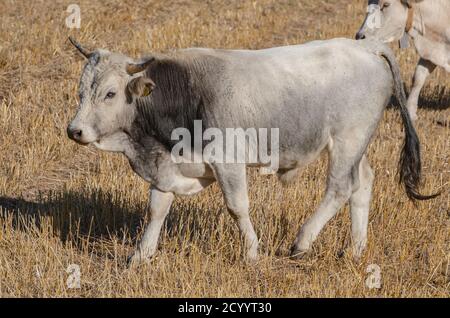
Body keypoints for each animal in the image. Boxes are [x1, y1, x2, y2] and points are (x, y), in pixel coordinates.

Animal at [66, 37, 436, 266]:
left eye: (110, 93)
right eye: (82, 92)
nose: (75, 130)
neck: (185, 91)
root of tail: (368, 47)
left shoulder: (228, 163)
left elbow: (237, 207)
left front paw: (252, 252)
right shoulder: (167, 167)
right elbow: (157, 209)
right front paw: (141, 255)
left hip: (347, 141)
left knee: (339, 189)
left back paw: (302, 242)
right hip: (355, 146)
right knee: (362, 183)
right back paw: (355, 249)